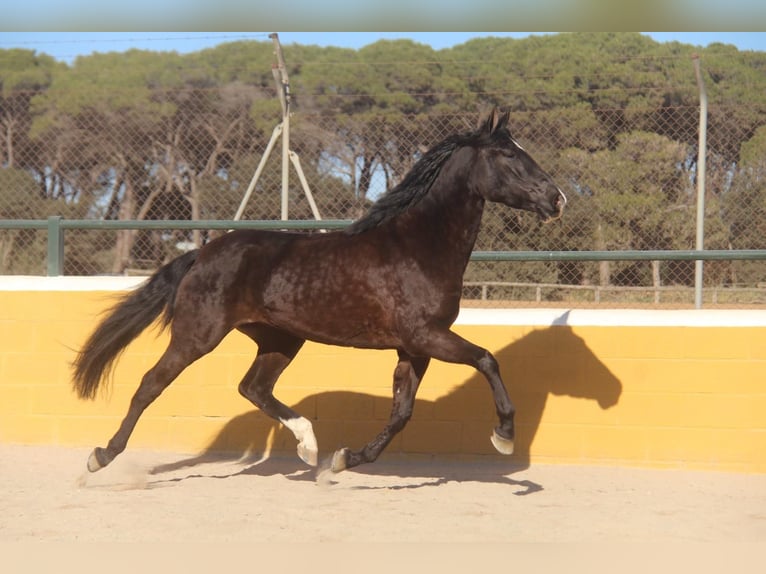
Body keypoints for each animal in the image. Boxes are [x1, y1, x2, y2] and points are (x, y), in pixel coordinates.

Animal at [72, 108, 568, 476]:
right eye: (507, 155)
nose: (558, 199)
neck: (417, 246)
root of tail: (201, 253)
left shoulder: (414, 347)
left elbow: (402, 412)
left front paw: (346, 459)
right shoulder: (428, 336)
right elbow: (486, 359)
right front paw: (504, 436)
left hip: (280, 339)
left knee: (253, 387)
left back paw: (309, 446)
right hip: (198, 335)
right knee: (150, 384)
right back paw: (100, 456)